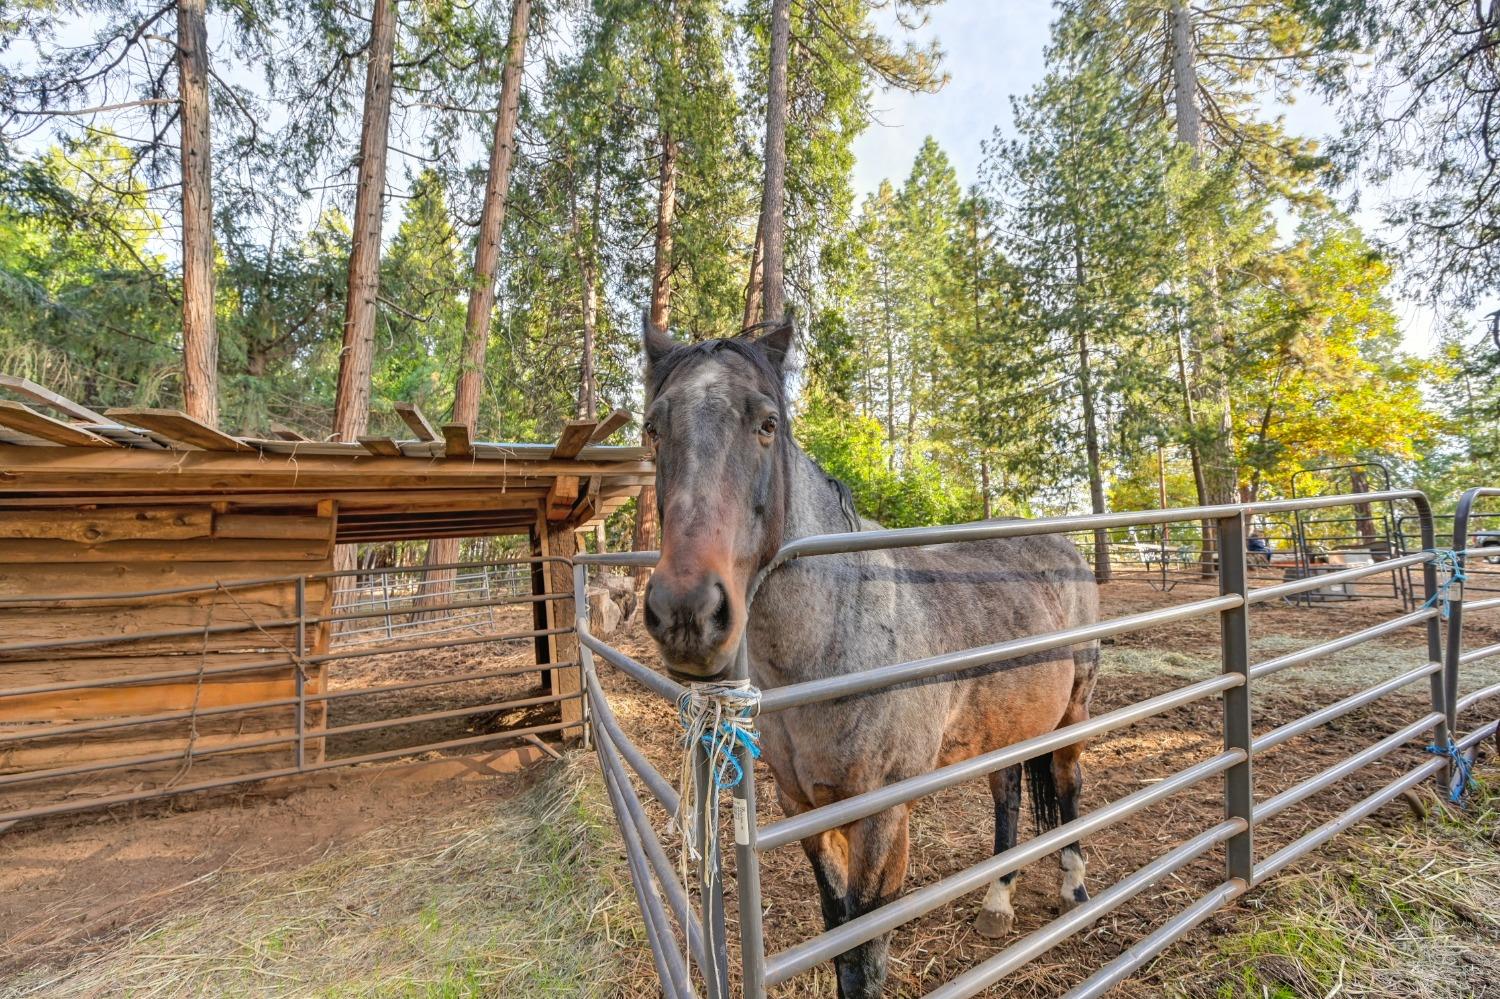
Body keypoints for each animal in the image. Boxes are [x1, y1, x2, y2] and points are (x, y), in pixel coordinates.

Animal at [636, 321, 1104, 996]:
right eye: (652, 428)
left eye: (767, 422)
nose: (686, 613)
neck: (836, 640)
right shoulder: (805, 811)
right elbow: (839, 936)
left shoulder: (881, 819)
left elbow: (866, 950)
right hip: (1005, 729)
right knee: (1009, 796)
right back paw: (996, 901)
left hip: (1074, 713)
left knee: (1067, 788)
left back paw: (1074, 887)